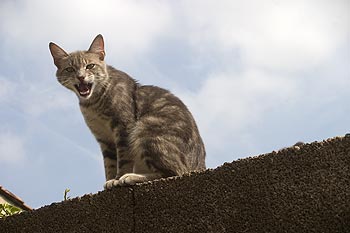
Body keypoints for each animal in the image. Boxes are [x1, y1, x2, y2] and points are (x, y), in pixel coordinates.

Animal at [50, 34, 208, 189]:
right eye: (70, 69)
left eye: (90, 66)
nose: (81, 76)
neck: (93, 104)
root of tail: (199, 165)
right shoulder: (104, 139)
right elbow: (109, 164)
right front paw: (110, 180)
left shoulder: (123, 126)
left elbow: (123, 159)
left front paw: (117, 179)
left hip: (147, 129)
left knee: (173, 171)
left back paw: (131, 177)